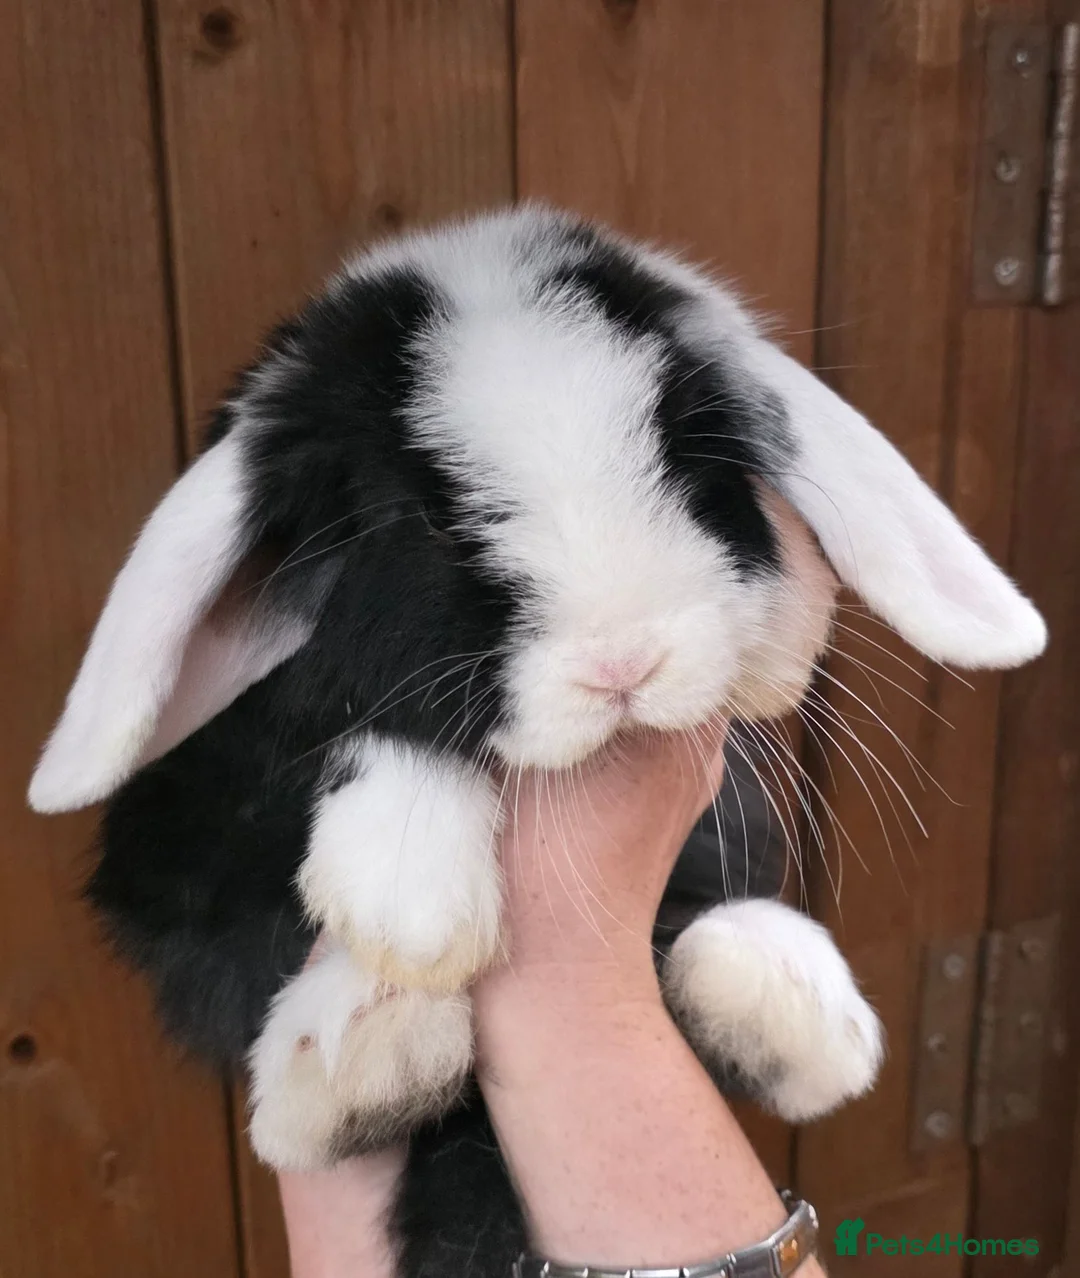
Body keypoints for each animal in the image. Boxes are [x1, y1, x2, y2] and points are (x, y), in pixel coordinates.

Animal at [28, 207, 1045, 1275]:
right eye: (420, 514)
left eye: (686, 456)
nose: (624, 662)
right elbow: (363, 721)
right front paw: (410, 905)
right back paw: (362, 1055)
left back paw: (789, 1002)